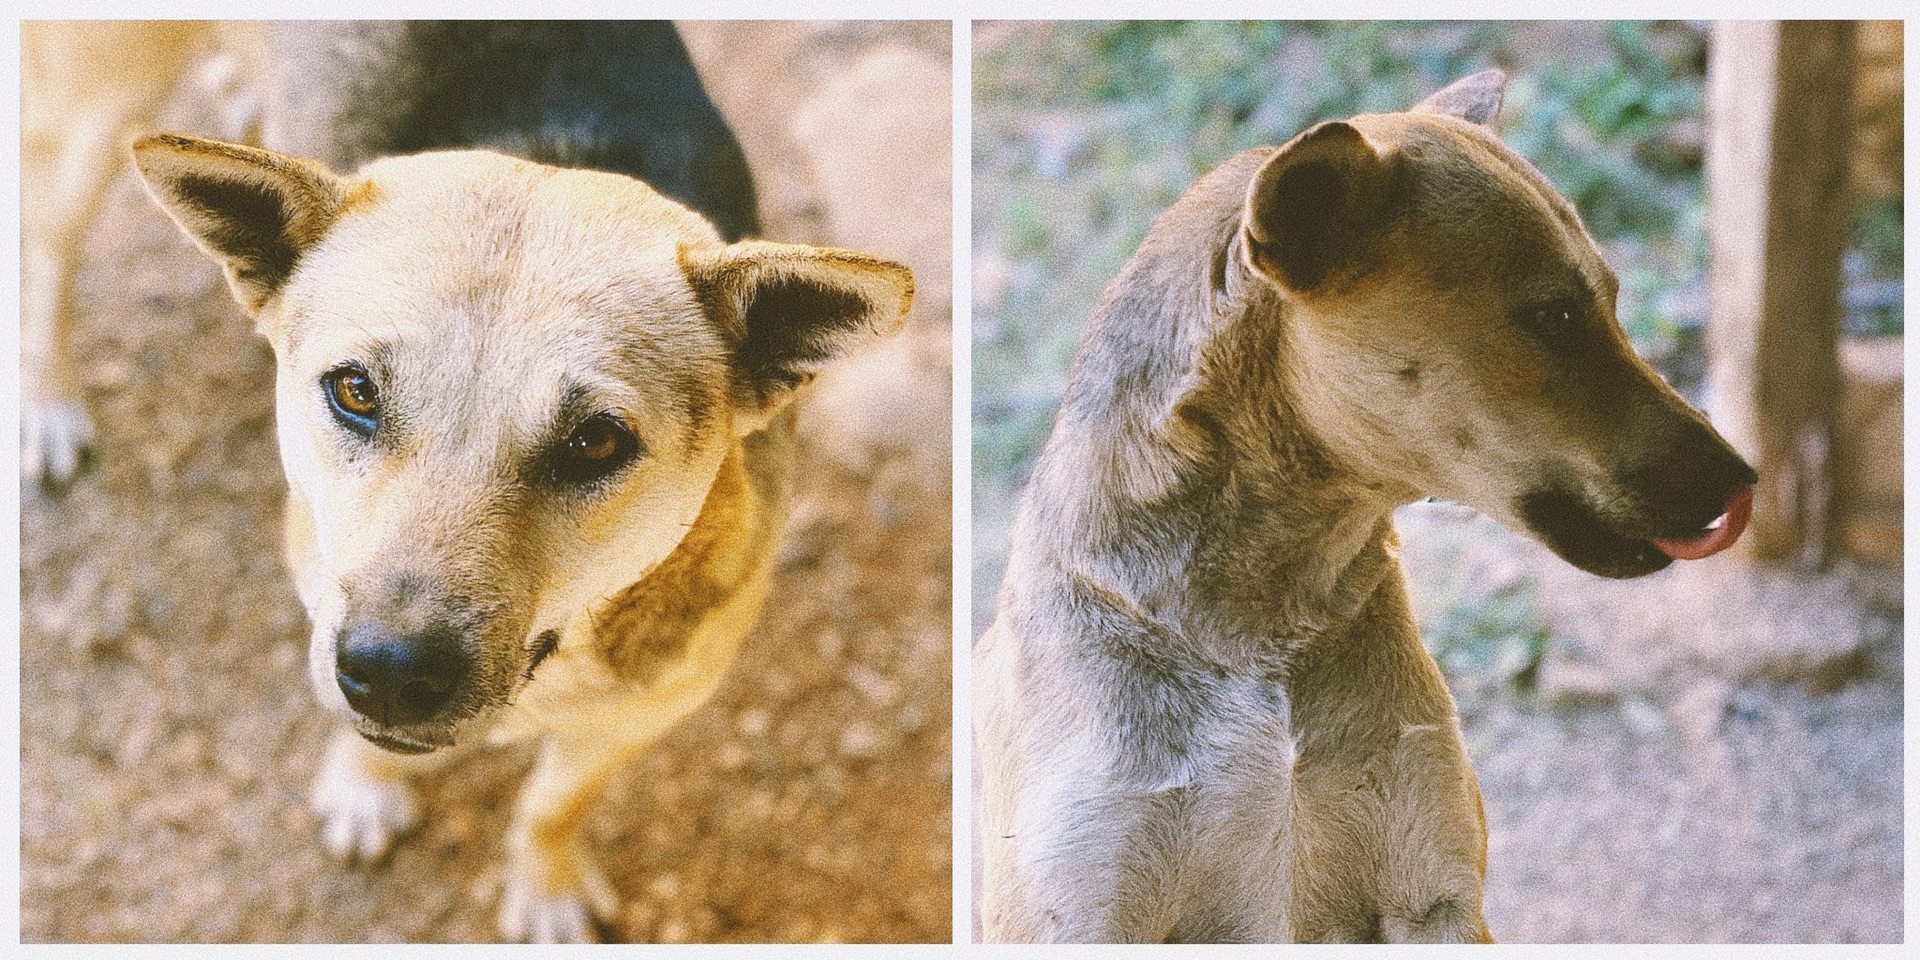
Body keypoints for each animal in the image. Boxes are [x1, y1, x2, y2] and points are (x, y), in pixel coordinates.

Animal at [135, 131, 913, 940]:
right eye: (355, 391)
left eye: (596, 442)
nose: (390, 672)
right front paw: (365, 786)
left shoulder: (640, 716)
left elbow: (553, 805)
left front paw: (545, 887)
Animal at [983, 69, 1751, 944]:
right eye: (1555, 316)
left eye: (1614, 302)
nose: (1743, 479)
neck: (1261, 632)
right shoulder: (1081, 909)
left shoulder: (1433, 894)